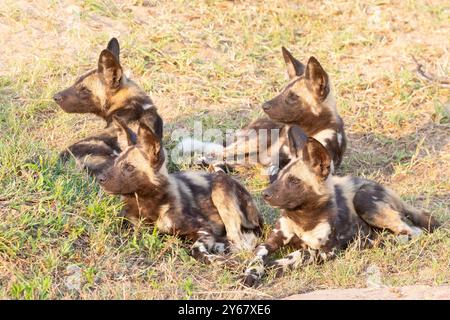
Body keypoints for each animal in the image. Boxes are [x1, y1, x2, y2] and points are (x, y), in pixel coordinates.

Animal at [96, 116, 264, 262]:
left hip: (220, 191)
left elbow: (196, 250)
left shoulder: (203, 228)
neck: (146, 203)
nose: (100, 179)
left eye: (129, 167)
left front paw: (216, 260)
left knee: (239, 243)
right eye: (115, 163)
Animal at [178, 48, 346, 181]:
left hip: (248, 157)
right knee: (212, 155)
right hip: (254, 142)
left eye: (293, 97)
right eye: (282, 91)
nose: (264, 106)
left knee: (216, 161)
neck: (310, 130)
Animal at [243, 126, 440, 286]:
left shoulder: (327, 251)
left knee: (411, 232)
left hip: (364, 200)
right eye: (279, 176)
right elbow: (258, 256)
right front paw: (251, 273)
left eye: (294, 181)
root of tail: (387, 189)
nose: (265, 194)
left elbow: (299, 255)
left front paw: (273, 266)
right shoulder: (272, 241)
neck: (302, 218)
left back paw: (374, 242)